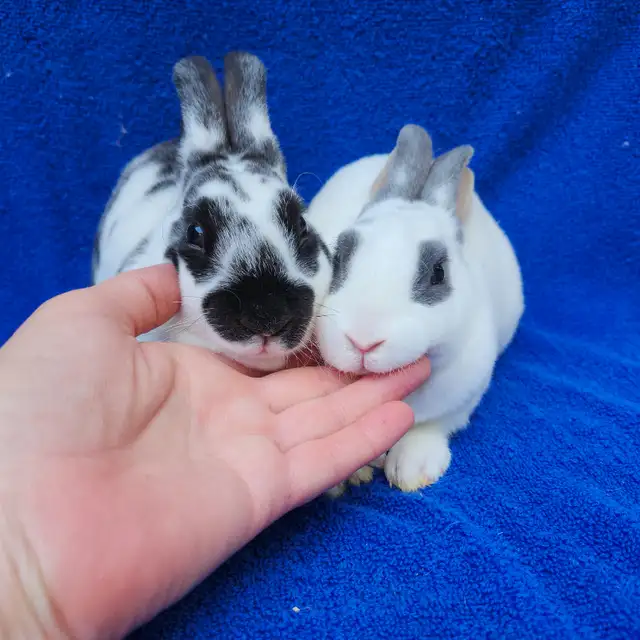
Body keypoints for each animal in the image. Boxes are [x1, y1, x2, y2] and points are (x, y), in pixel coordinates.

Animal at [305, 124, 524, 495]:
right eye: (338, 255)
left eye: (438, 273)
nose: (363, 341)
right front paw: (353, 475)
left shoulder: (466, 393)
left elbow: (433, 425)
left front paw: (413, 470)